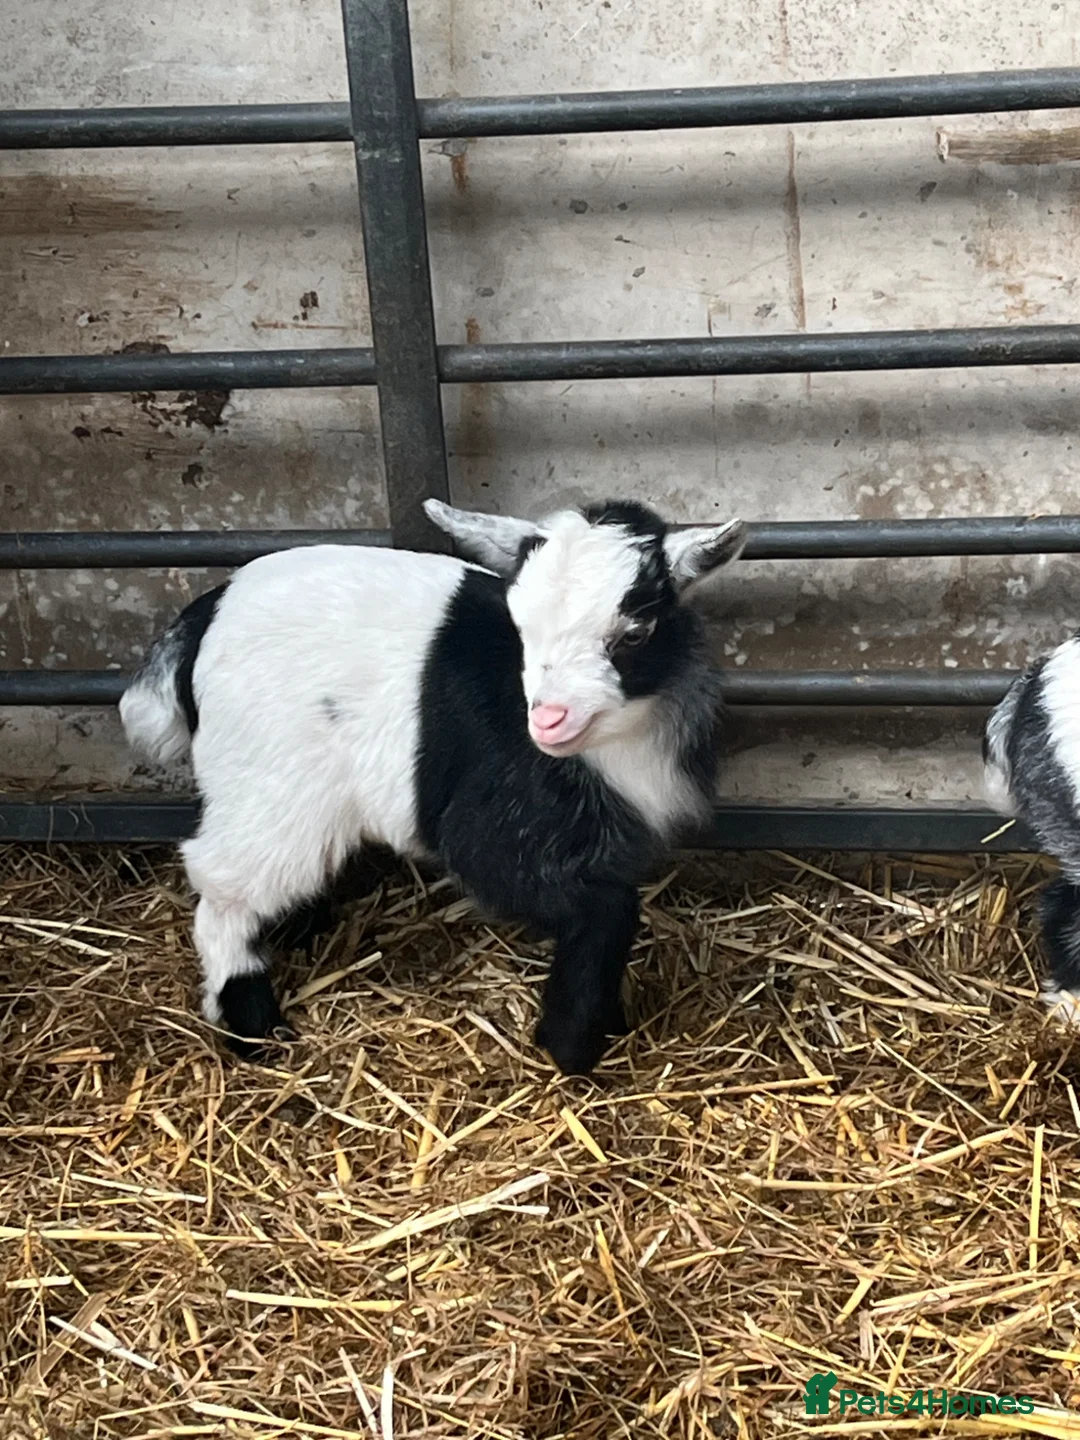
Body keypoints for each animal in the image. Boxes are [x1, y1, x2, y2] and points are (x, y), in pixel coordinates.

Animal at [120, 498, 745, 1074]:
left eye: (636, 632)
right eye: (521, 629)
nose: (548, 719)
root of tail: (203, 618)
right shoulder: (496, 829)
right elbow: (608, 910)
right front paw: (572, 1048)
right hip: (264, 783)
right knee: (223, 893)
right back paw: (254, 1025)